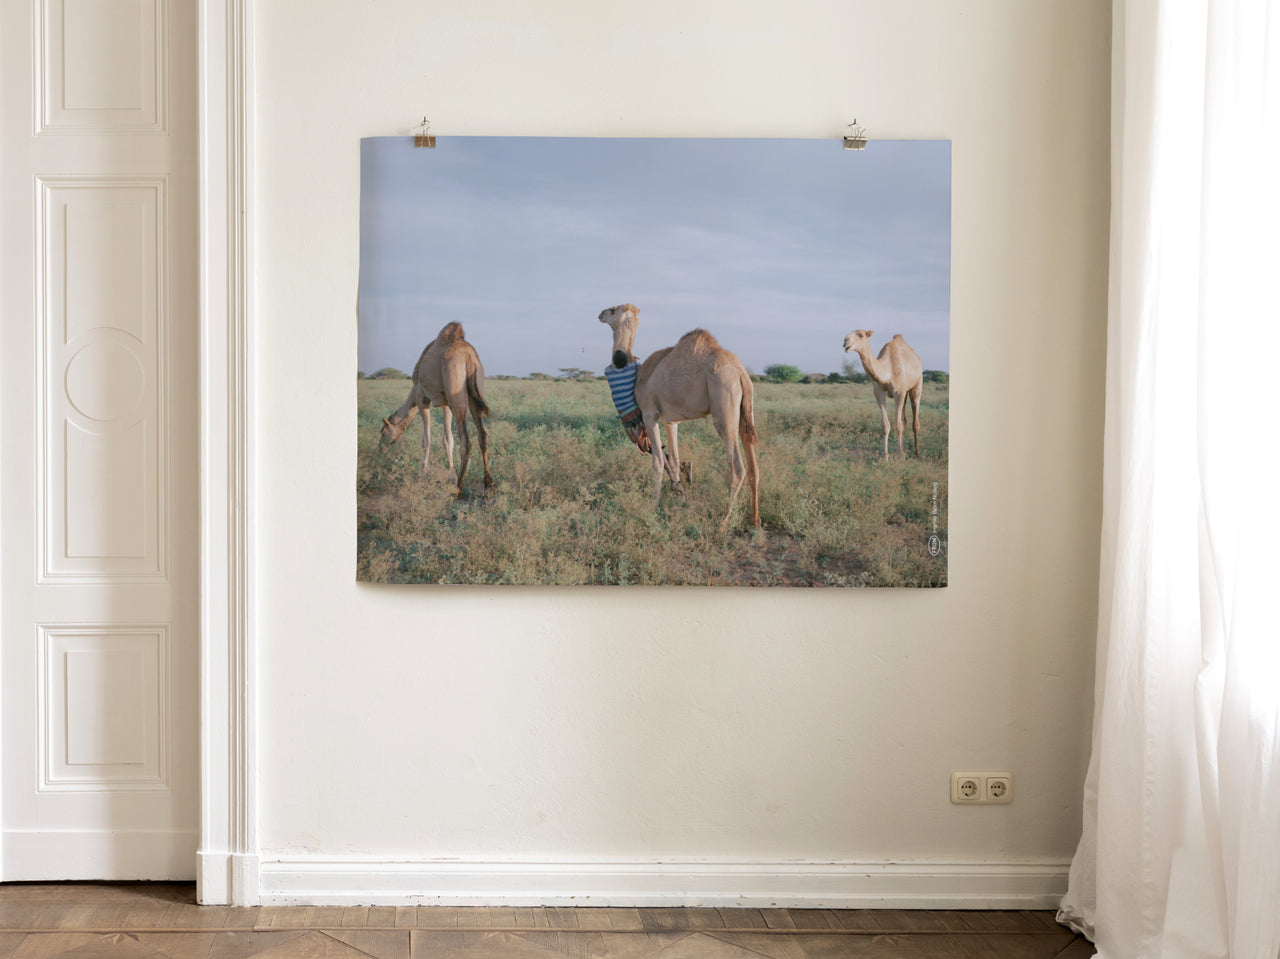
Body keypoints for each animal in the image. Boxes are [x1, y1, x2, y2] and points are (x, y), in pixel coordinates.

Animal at [379, 321, 494, 491]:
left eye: (382, 432)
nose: (379, 448)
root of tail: (469, 357)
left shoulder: (422, 398)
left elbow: (427, 439)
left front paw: (422, 473)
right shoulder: (445, 403)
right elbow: (448, 440)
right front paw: (451, 476)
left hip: (456, 391)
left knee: (466, 441)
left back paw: (458, 488)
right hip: (475, 392)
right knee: (482, 436)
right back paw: (488, 483)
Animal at [599, 303, 761, 528]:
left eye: (614, 310)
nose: (601, 314)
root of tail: (741, 373)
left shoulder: (649, 413)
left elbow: (658, 462)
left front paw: (652, 507)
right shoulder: (671, 419)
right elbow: (674, 459)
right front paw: (677, 495)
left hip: (724, 405)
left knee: (737, 467)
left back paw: (722, 522)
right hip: (747, 410)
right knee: (754, 467)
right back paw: (755, 519)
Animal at [842, 329, 924, 460]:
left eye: (861, 335)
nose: (845, 341)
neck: (887, 370)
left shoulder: (899, 392)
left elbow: (898, 424)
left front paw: (899, 455)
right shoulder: (879, 392)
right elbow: (886, 425)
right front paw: (885, 455)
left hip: (917, 384)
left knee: (914, 419)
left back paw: (916, 453)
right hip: (905, 392)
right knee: (904, 420)